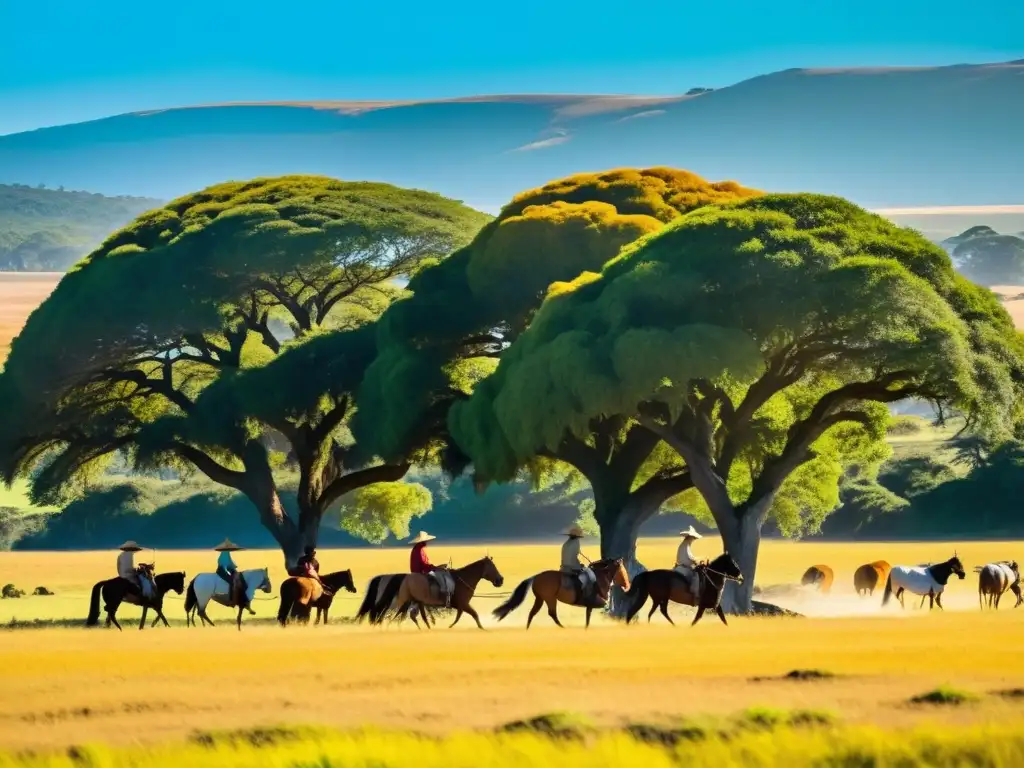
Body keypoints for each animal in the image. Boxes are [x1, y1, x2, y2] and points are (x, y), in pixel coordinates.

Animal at [491, 561, 626, 630]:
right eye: (622, 570)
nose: (627, 584)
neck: (599, 578)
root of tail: (536, 577)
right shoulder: (596, 602)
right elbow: (594, 612)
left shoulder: (591, 605)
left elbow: (589, 615)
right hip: (550, 599)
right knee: (551, 613)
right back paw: (563, 627)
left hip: (540, 599)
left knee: (533, 613)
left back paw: (527, 628)